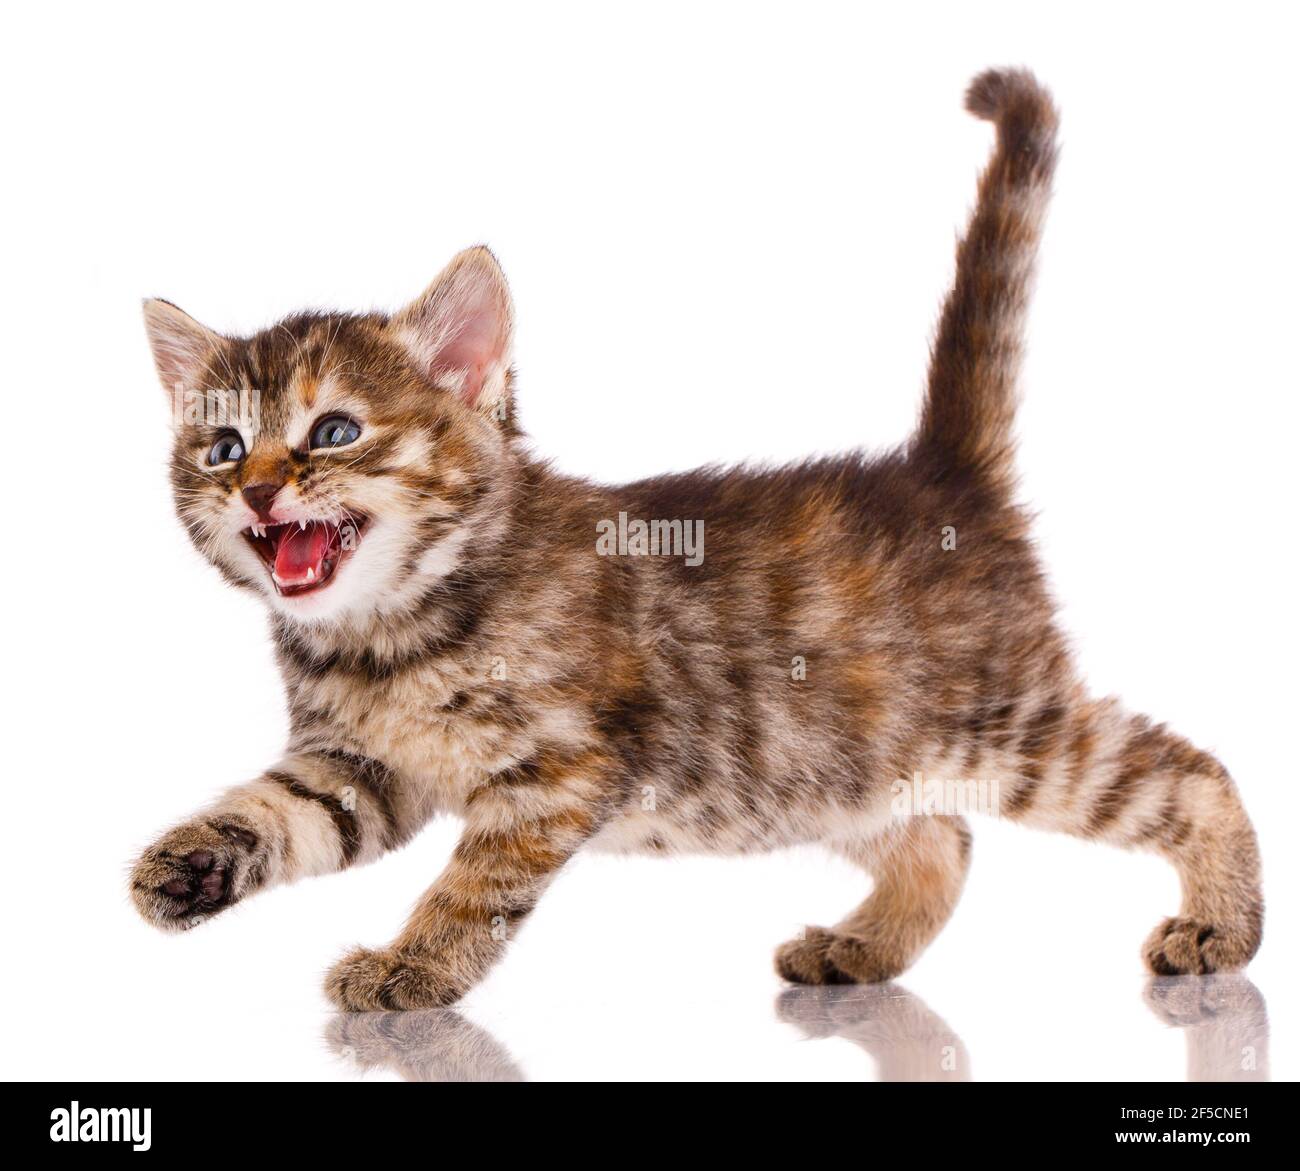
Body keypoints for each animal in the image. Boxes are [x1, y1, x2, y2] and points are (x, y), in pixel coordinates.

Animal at [131, 70, 1258, 1003]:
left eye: (333, 432)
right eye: (223, 447)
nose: (259, 491)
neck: (388, 630)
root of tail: (940, 471)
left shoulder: (557, 774)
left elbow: (473, 885)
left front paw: (413, 965)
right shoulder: (360, 765)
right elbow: (279, 810)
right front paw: (185, 863)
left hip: (1005, 723)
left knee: (1185, 771)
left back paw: (1221, 922)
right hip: (835, 767)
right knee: (940, 834)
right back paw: (864, 947)